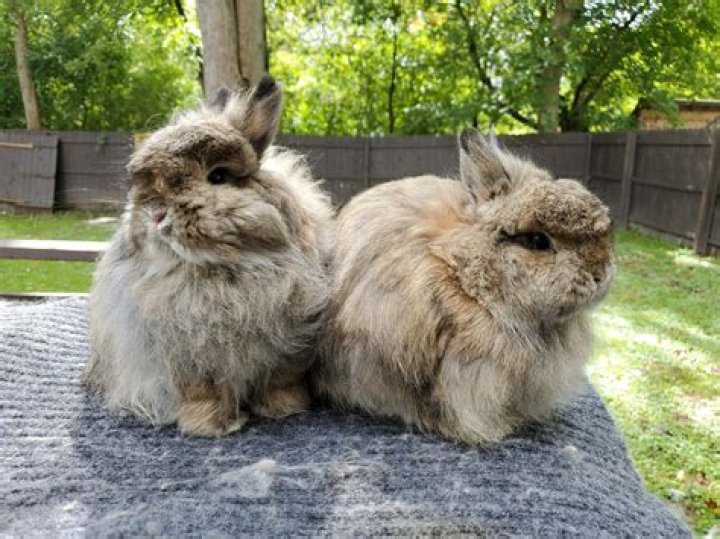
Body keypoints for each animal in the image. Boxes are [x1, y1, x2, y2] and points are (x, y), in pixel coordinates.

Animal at [84, 76, 333, 437]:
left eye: (217, 177)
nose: (156, 214)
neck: (221, 270)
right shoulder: (189, 359)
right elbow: (204, 393)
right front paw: (211, 427)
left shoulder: (289, 349)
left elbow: (278, 382)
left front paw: (283, 410)